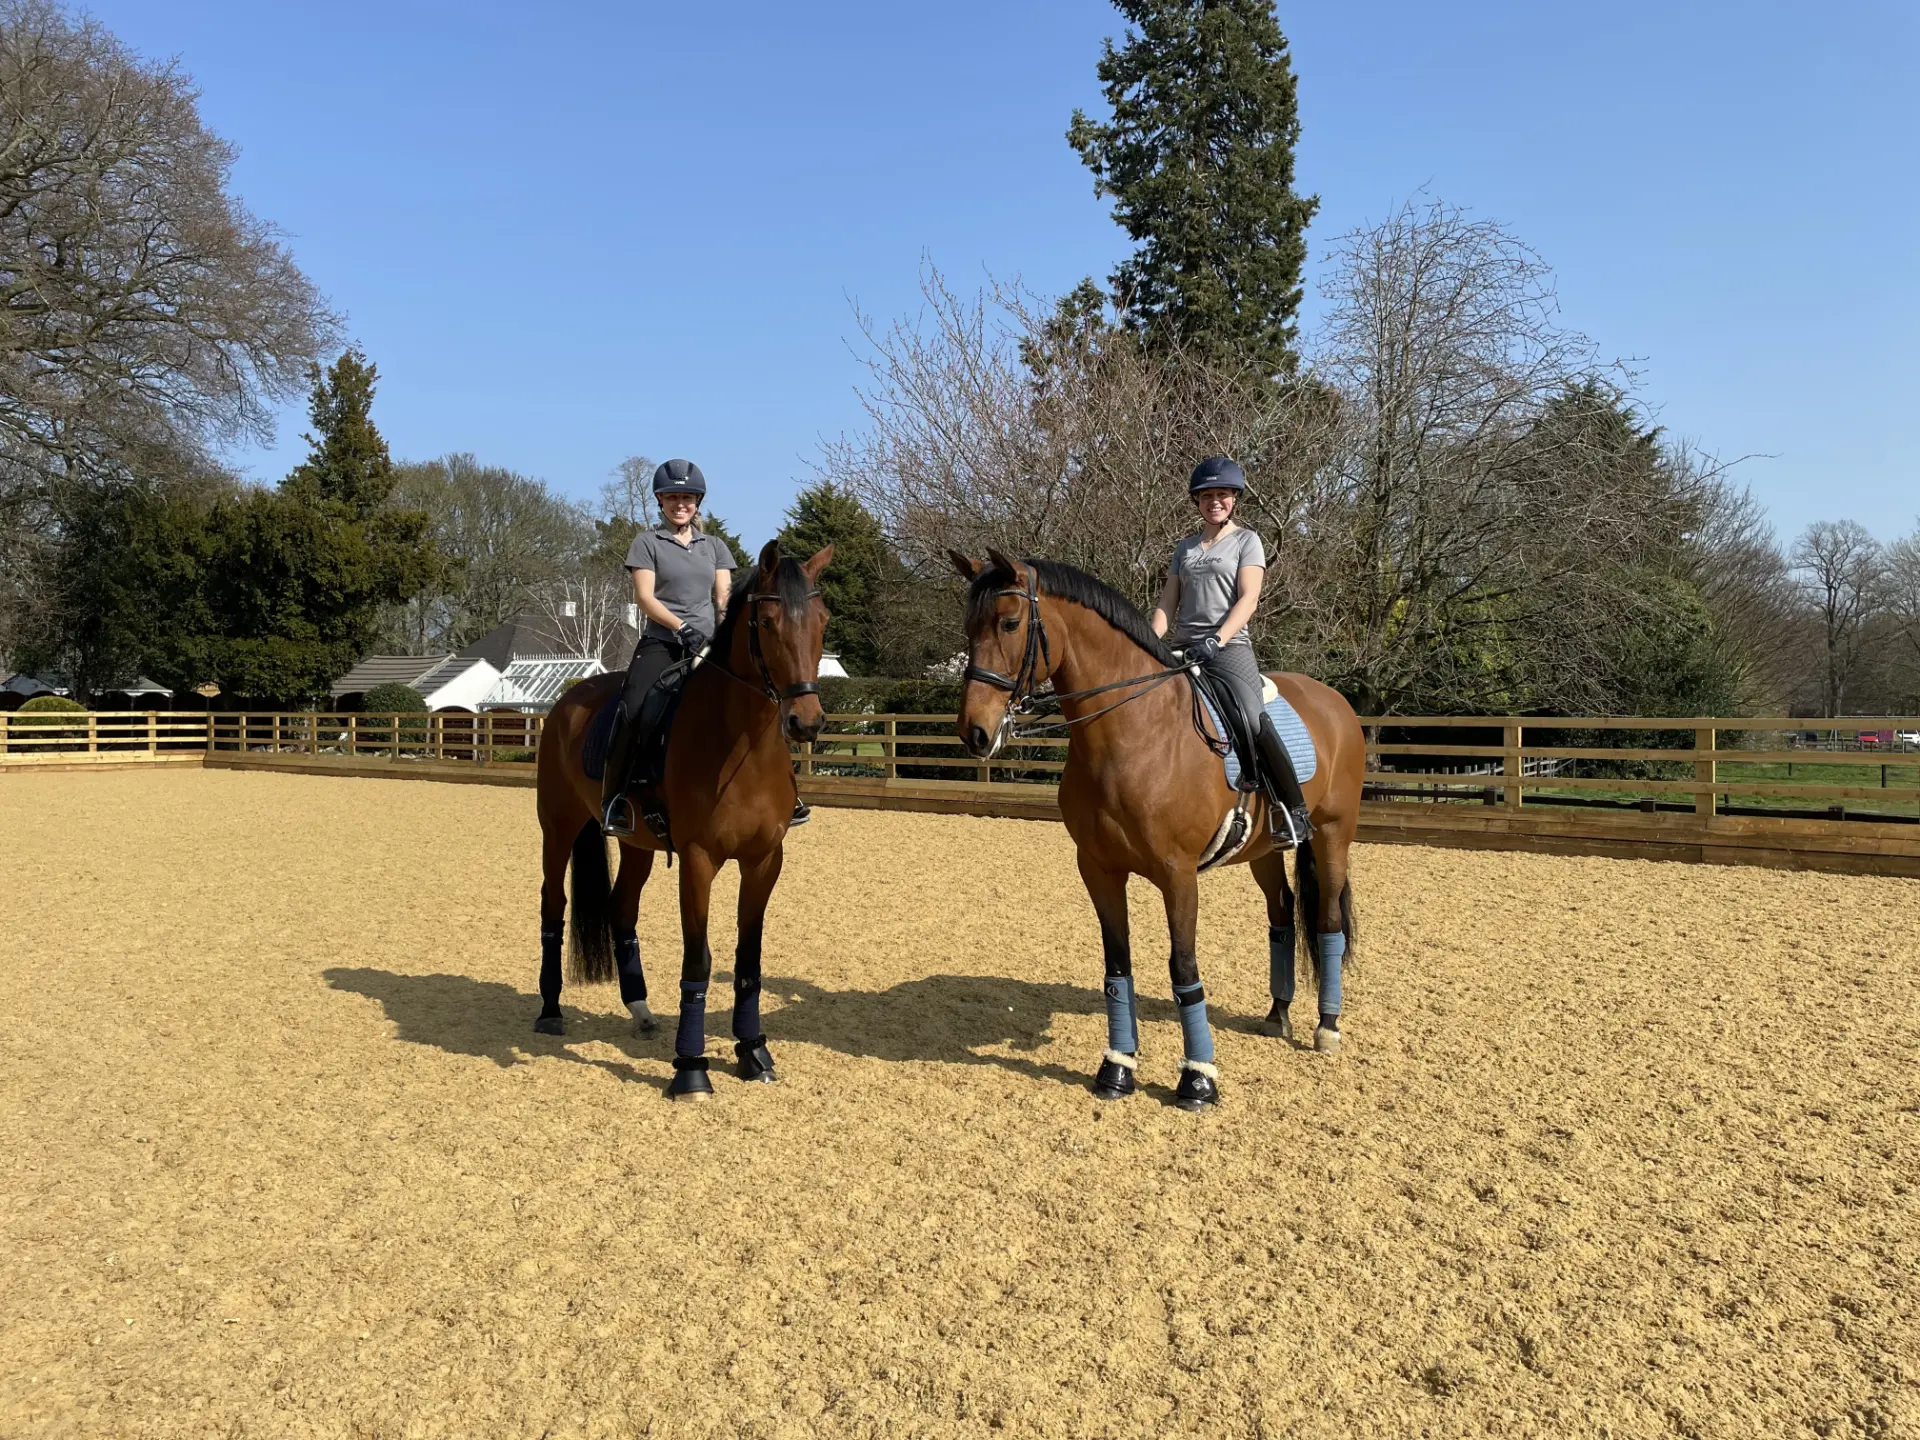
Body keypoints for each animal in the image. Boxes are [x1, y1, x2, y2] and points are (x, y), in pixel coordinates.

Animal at [532, 540, 833, 1101]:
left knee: (621, 908)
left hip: (636, 844)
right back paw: (549, 1010)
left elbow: (748, 960)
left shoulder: (765, 860)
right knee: (552, 906)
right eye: (767, 620)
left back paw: (640, 1009)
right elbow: (699, 960)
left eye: (822, 619)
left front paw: (752, 1052)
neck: (743, 746)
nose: (806, 722)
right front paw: (690, 1069)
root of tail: (569, 698)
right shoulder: (699, 861)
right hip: (557, 828)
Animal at [949, 548, 1365, 1112]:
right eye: (969, 626)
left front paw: (1198, 1080)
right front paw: (1117, 1069)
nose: (974, 732)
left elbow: (1183, 970)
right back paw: (1277, 1015)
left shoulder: (1178, 875)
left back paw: (1327, 1026)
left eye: (1010, 622)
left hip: (1332, 835)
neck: (1132, 732)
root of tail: (1334, 701)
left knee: (1327, 922)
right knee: (1280, 914)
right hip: (1263, 849)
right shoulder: (1098, 869)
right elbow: (1117, 967)